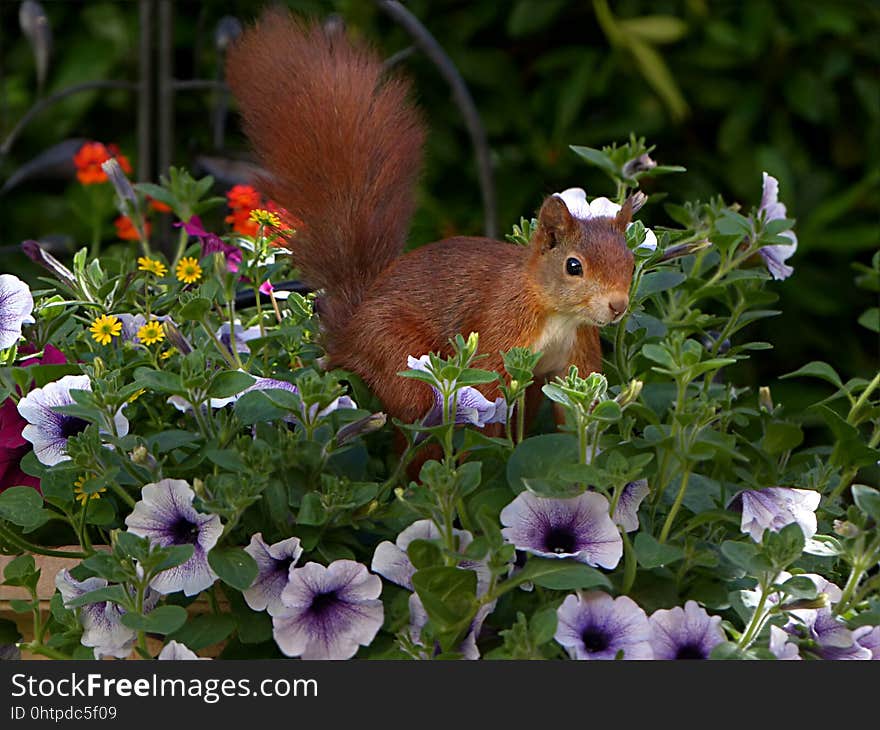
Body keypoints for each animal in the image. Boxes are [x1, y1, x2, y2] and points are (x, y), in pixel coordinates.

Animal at [227, 11, 636, 426]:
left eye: (631, 263)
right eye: (573, 266)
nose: (618, 306)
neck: (557, 313)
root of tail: (347, 333)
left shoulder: (576, 352)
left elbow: (578, 413)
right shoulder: (499, 329)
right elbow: (488, 393)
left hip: (530, 384)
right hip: (396, 354)